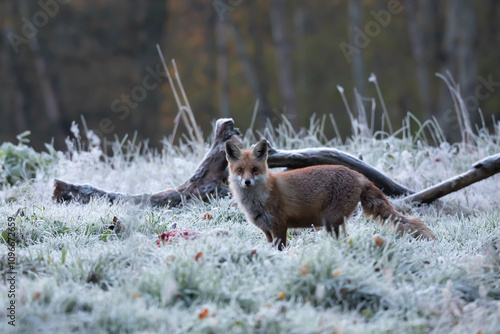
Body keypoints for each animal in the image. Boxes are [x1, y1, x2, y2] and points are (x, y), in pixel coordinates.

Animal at [225, 139, 436, 250]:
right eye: (240, 170)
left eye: (254, 169)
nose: (247, 182)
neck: (257, 201)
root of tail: (358, 175)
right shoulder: (267, 231)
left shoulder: (279, 227)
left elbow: (281, 250)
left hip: (331, 222)